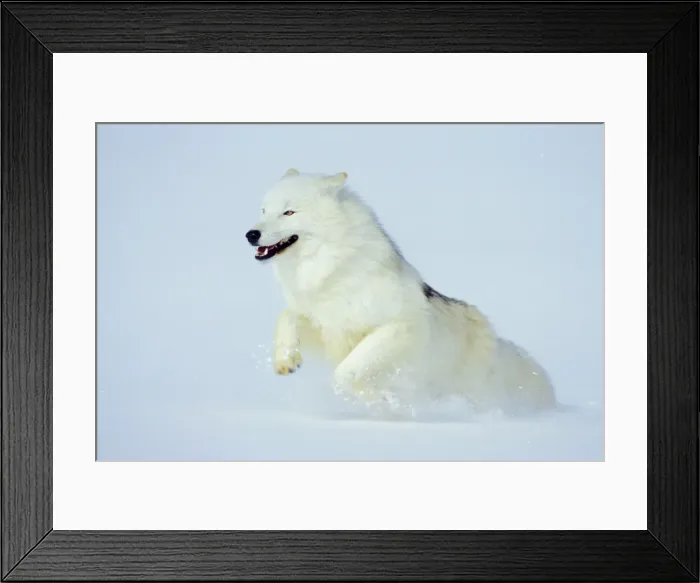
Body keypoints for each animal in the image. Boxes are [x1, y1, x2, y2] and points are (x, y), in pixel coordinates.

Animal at [246, 169, 557, 413]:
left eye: (288, 212)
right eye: (263, 210)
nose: (251, 234)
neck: (332, 269)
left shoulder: (400, 326)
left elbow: (347, 372)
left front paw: (379, 400)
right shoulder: (327, 329)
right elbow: (286, 316)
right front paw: (286, 359)